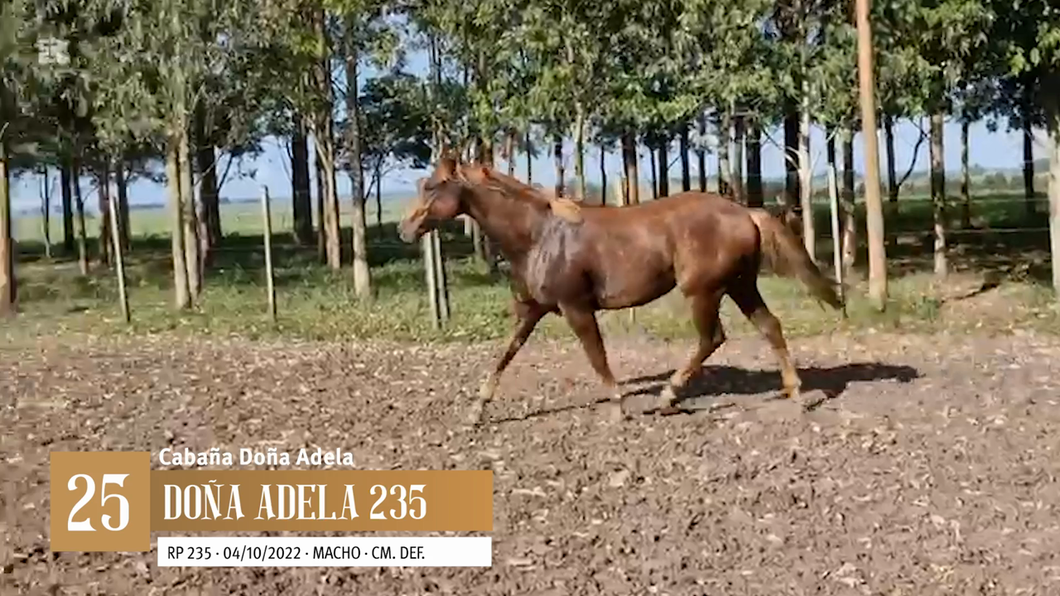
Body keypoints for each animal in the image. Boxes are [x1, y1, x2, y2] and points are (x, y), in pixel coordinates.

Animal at [398, 153, 843, 422]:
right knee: (770, 326)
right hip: (740, 285)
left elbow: (597, 356)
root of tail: (746, 212)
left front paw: (618, 406)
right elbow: (506, 353)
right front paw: (476, 410)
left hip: (704, 291)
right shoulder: (533, 309)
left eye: (434, 186)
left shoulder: (576, 307)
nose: (405, 229)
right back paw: (795, 393)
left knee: (712, 337)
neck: (540, 235)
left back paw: (668, 397)